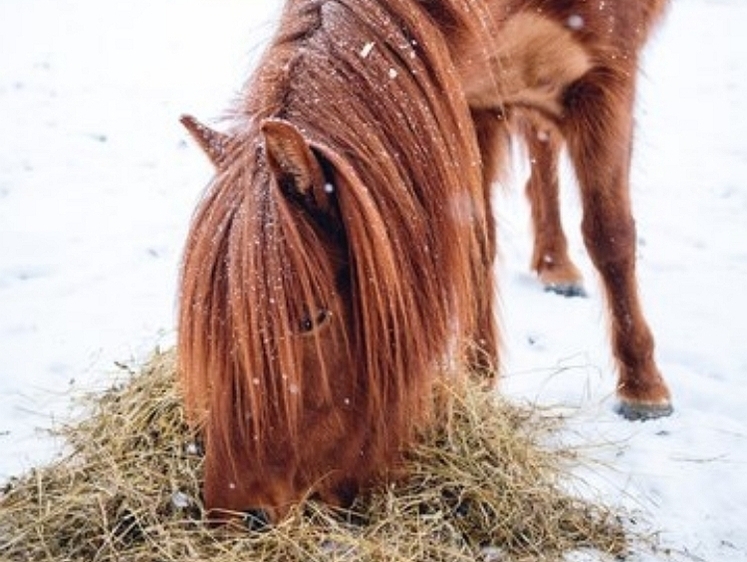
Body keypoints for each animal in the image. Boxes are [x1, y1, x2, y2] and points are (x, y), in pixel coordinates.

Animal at [178, 0, 676, 520]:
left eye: (313, 318)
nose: (232, 510)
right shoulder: (470, 101)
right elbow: (475, 242)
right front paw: (478, 381)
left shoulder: (608, 80)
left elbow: (610, 234)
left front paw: (643, 387)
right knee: (540, 140)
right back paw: (553, 260)